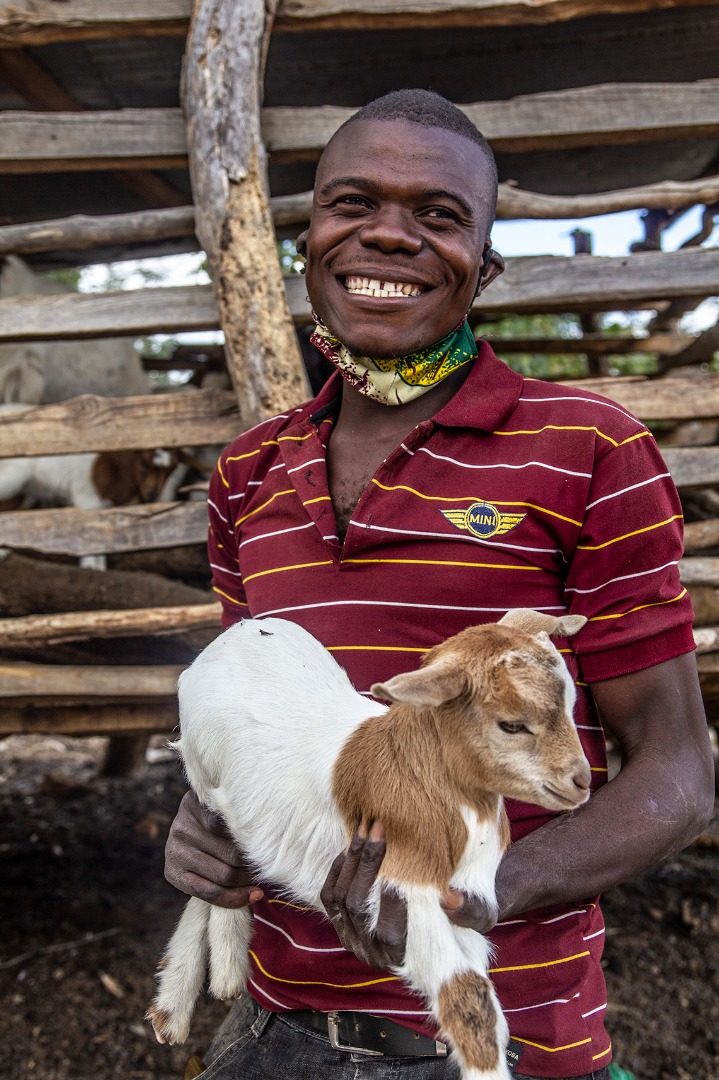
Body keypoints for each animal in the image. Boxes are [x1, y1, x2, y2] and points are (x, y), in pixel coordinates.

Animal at [147, 609, 590, 1080]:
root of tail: (236, 633)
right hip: (204, 774)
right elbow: (468, 1001)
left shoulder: (464, 908)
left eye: (570, 707)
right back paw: (208, 981)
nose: (581, 781)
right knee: (213, 869)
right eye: (511, 725)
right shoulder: (403, 890)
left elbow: (486, 1004)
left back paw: (189, 999)